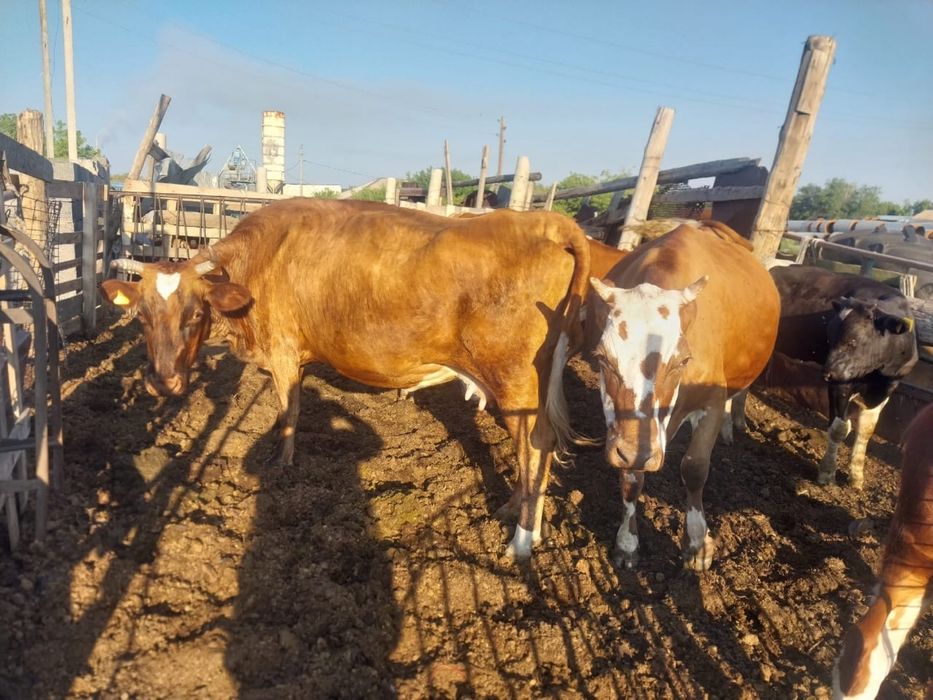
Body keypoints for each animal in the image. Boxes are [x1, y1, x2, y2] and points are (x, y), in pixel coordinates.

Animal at [100, 198, 591, 560]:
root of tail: (544, 222)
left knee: (536, 446)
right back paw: (515, 512)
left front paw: (281, 465)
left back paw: (522, 540)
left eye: (195, 314)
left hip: (516, 381)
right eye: (141, 316)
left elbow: (290, 412)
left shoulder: (282, 351)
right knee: (536, 451)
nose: (163, 383)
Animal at [586, 221, 780, 570]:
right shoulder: (628, 435)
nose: (638, 453)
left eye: (682, 361)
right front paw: (627, 542)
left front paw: (697, 543)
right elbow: (631, 480)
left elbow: (694, 467)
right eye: (603, 358)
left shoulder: (710, 401)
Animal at [756, 265, 918, 488]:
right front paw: (827, 473)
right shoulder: (840, 383)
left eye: (853, 341)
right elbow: (839, 428)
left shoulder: (886, 388)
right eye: (830, 337)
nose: (826, 373)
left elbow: (867, 429)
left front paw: (856, 476)